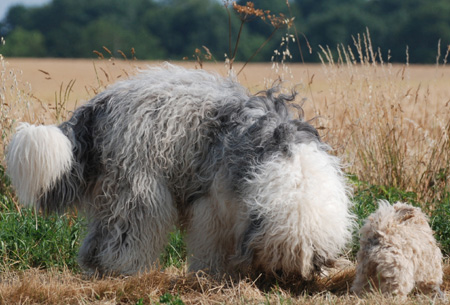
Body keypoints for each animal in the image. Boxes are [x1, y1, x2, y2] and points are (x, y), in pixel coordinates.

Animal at [5, 64, 354, 278]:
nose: (278, 281)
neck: (295, 176)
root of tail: (100, 104)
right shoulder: (213, 202)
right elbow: (211, 239)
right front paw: (212, 273)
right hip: (138, 185)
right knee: (129, 230)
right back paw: (125, 269)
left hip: (114, 188)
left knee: (101, 235)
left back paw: (99, 268)